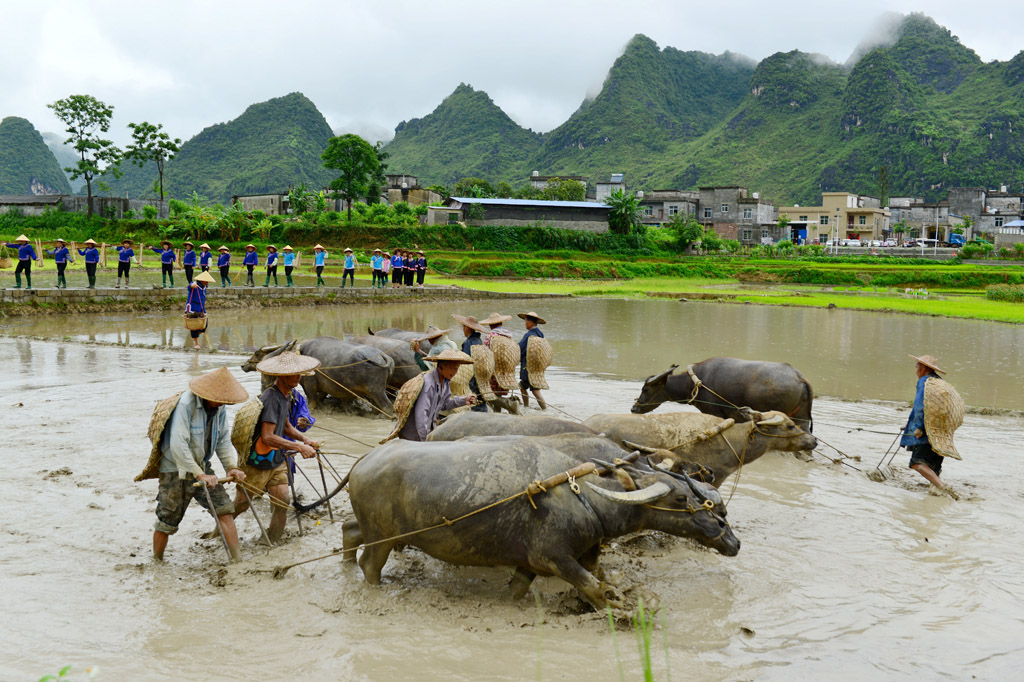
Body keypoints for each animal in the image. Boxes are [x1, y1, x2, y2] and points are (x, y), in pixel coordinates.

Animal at [241, 337, 393, 411]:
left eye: (257, 354)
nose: (243, 365)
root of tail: (383, 357)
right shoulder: (324, 389)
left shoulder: (310, 387)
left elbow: (312, 403)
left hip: (377, 391)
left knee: (387, 407)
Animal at [344, 438, 737, 606]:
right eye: (680, 498)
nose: (731, 539)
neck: (585, 499)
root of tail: (364, 461)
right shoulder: (554, 558)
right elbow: (596, 587)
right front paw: (617, 607)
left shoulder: (530, 563)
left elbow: (519, 590)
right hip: (381, 537)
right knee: (369, 565)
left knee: (349, 532)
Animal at [630, 356, 815, 430]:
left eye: (645, 389)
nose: (634, 408)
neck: (694, 383)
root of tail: (799, 377)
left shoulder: (713, 412)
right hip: (802, 419)